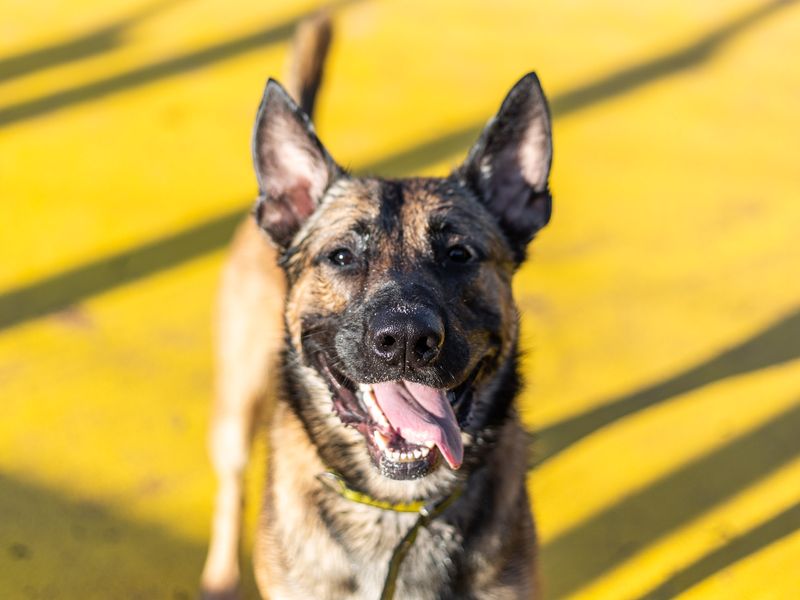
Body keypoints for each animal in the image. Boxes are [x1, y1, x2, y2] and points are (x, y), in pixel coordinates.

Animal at [200, 14, 552, 600]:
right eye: (342, 255)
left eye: (458, 254)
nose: (405, 340)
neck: (397, 508)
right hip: (238, 402)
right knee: (231, 482)